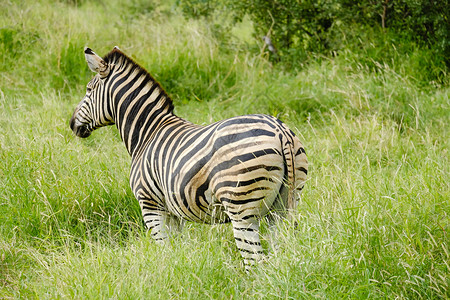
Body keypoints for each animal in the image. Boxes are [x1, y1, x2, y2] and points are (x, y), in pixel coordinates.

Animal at [70, 47, 308, 270]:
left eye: (88, 90)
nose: (72, 124)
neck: (147, 133)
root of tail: (280, 132)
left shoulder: (150, 205)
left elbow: (164, 250)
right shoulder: (173, 212)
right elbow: (175, 251)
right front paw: (177, 274)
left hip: (242, 207)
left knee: (256, 262)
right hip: (283, 206)